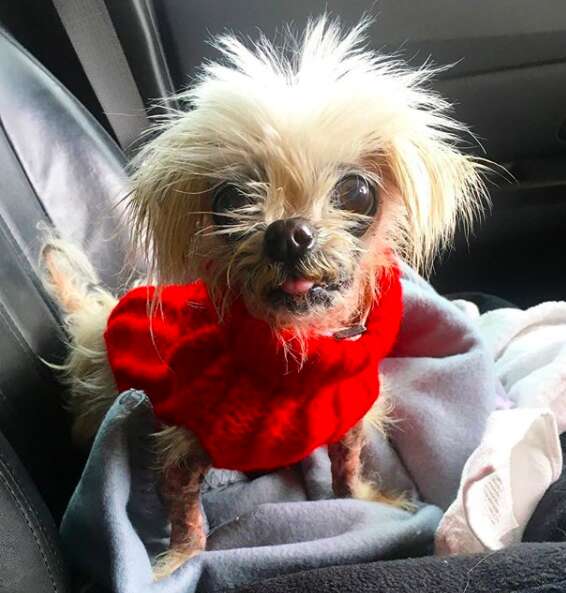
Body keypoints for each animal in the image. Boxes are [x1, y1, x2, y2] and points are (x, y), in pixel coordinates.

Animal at [43, 16, 488, 576]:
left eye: (357, 193)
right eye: (230, 200)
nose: (288, 233)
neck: (294, 361)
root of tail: (96, 316)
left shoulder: (345, 422)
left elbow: (347, 467)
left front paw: (364, 498)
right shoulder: (186, 448)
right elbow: (187, 519)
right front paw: (179, 563)